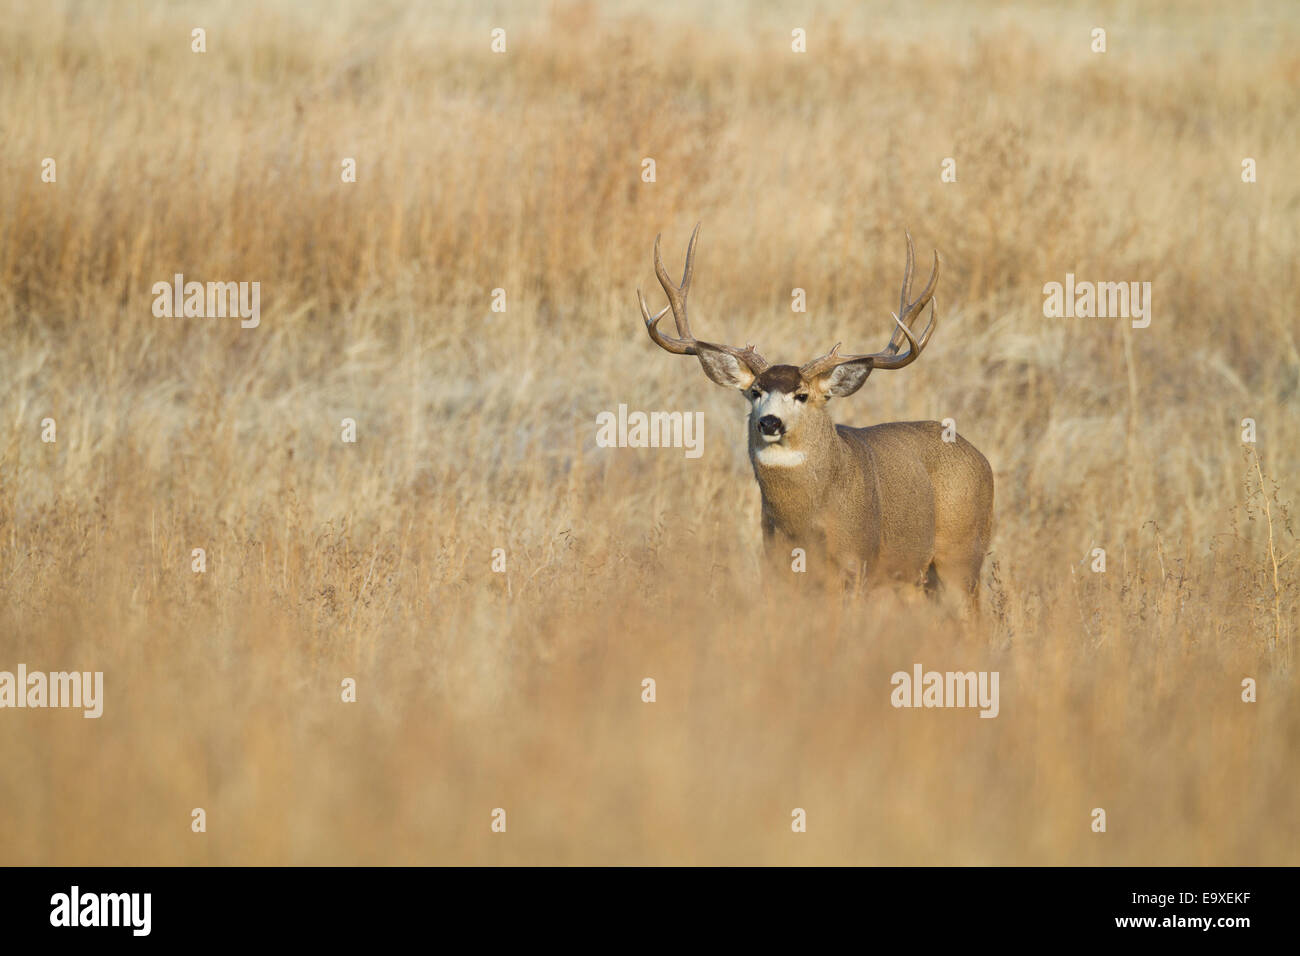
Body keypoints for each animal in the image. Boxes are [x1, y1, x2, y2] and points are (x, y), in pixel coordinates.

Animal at [637, 224, 994, 607]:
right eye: (755, 391)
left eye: (803, 395)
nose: (770, 422)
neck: (805, 524)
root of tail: (981, 458)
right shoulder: (776, 564)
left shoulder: (856, 563)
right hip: (919, 579)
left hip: (962, 556)